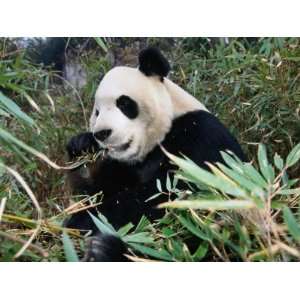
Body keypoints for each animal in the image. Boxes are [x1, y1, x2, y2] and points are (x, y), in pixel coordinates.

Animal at [65, 47, 246, 260]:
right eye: (97, 112)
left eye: (124, 103)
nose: (102, 133)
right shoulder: (122, 166)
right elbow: (96, 191)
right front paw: (82, 150)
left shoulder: (201, 137)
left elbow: (169, 197)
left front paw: (81, 222)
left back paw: (105, 250)